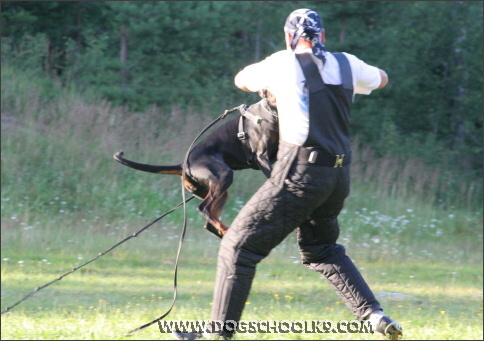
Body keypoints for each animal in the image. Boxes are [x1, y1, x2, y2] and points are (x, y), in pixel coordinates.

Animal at [113, 92, 278, 236]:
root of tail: (183, 165)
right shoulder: (261, 156)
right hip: (223, 176)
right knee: (203, 208)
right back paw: (226, 229)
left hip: (217, 190)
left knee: (210, 222)